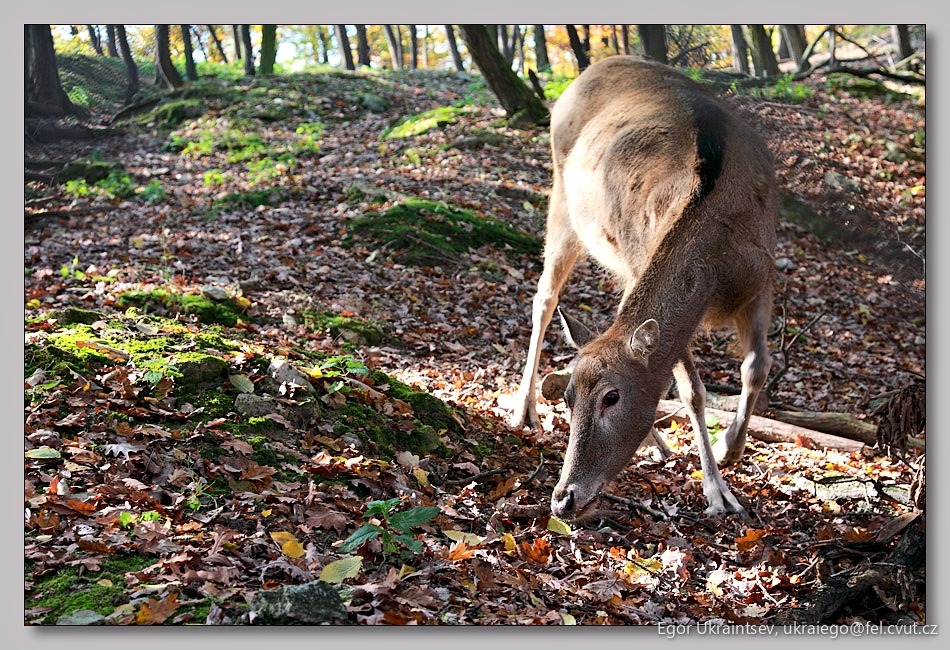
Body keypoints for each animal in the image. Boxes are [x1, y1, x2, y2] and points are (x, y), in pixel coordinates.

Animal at [510, 56, 777, 519]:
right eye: (568, 398)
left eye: (612, 397)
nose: (562, 498)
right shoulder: (641, 261)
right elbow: (692, 390)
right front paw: (717, 491)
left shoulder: (762, 279)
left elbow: (756, 366)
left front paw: (730, 449)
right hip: (562, 200)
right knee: (544, 297)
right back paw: (525, 410)